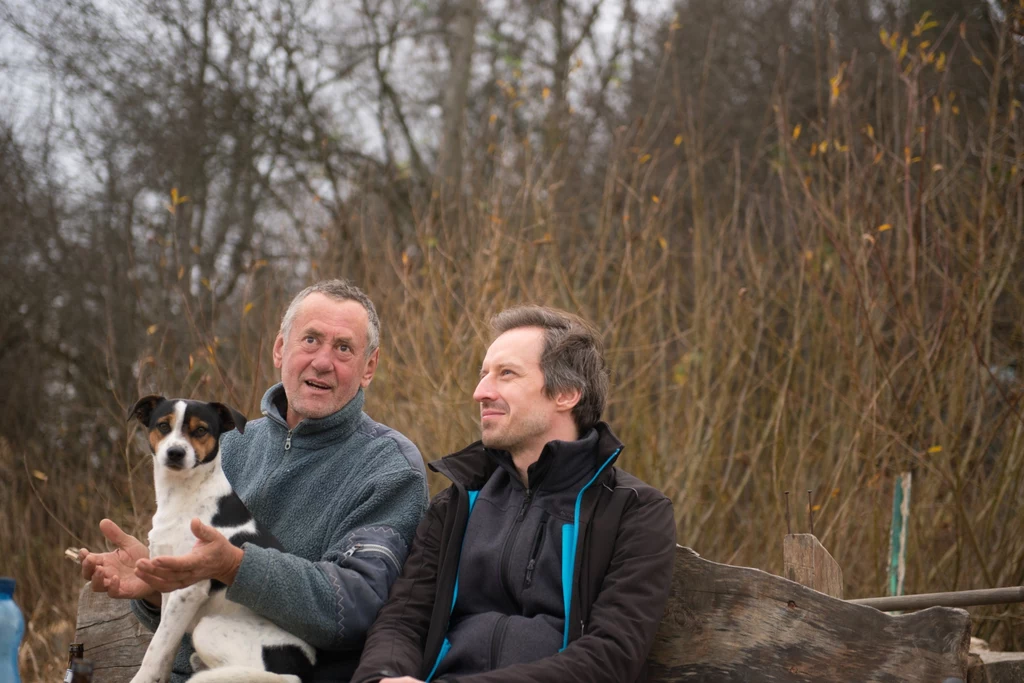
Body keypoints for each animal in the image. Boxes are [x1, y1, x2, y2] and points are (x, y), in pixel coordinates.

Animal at [130, 395, 317, 683]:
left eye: (200, 430)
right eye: (163, 426)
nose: (176, 453)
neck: (184, 495)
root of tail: (301, 673)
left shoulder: (188, 590)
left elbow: (155, 648)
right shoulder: (168, 587)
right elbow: (165, 645)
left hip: (209, 628)